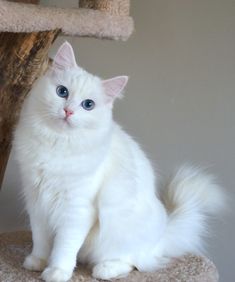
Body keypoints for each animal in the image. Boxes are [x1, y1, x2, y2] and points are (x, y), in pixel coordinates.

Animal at [13, 41, 225, 282]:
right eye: (62, 92)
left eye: (88, 105)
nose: (68, 111)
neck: (56, 144)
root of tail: (162, 237)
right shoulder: (36, 201)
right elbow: (40, 239)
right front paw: (37, 262)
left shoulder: (76, 208)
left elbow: (64, 246)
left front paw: (57, 272)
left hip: (118, 230)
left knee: (133, 263)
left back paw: (105, 269)